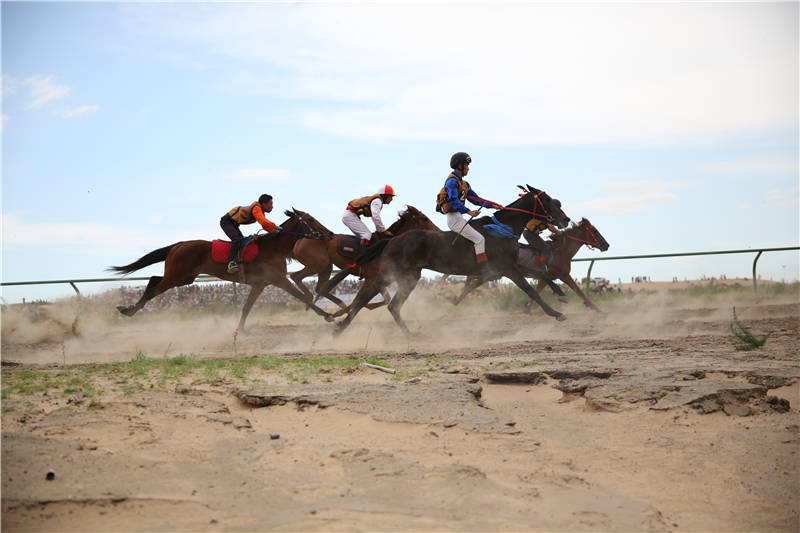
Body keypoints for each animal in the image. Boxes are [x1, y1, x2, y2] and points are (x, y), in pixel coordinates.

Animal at [108, 209, 332, 330]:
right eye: (311, 220)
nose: (329, 233)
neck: (273, 247)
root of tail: (178, 245)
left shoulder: (260, 284)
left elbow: (246, 307)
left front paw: (240, 329)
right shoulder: (278, 279)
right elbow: (302, 297)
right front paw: (329, 317)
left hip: (184, 278)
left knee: (154, 279)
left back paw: (128, 308)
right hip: (177, 276)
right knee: (154, 286)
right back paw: (128, 310)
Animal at [288, 205, 440, 314]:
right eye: (425, 218)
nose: (438, 230)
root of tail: (303, 237)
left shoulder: (377, 279)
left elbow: (383, 299)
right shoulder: (371, 278)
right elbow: (359, 301)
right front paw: (337, 316)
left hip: (326, 267)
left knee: (320, 288)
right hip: (318, 264)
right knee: (296, 276)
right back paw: (311, 301)